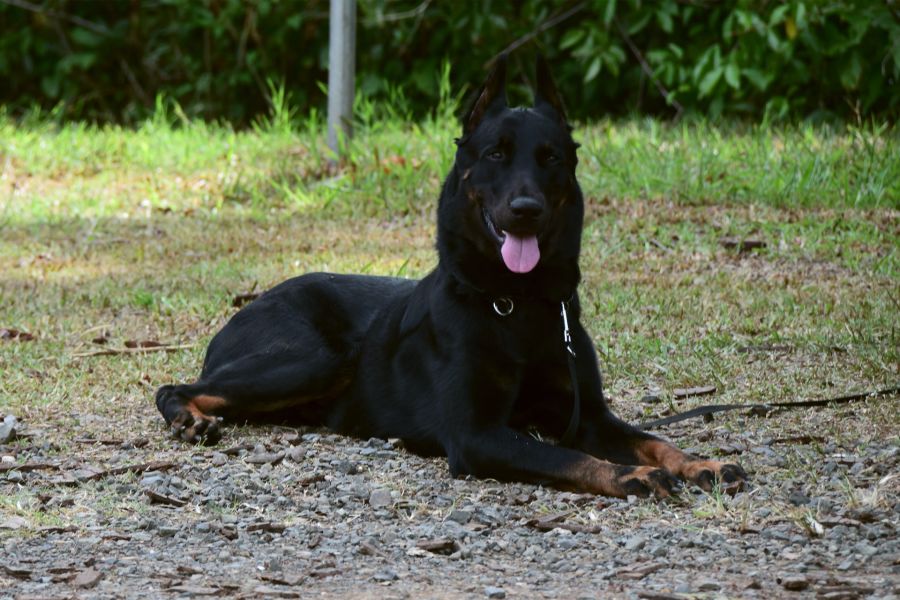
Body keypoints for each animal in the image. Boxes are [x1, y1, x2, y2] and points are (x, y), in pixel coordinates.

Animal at [156, 56, 744, 496]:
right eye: (496, 154)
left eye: (551, 157)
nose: (526, 210)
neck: (516, 301)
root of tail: (251, 303)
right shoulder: (476, 434)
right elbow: (564, 458)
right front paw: (632, 475)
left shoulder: (588, 418)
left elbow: (653, 439)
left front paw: (699, 462)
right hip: (315, 358)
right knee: (174, 386)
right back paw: (188, 418)